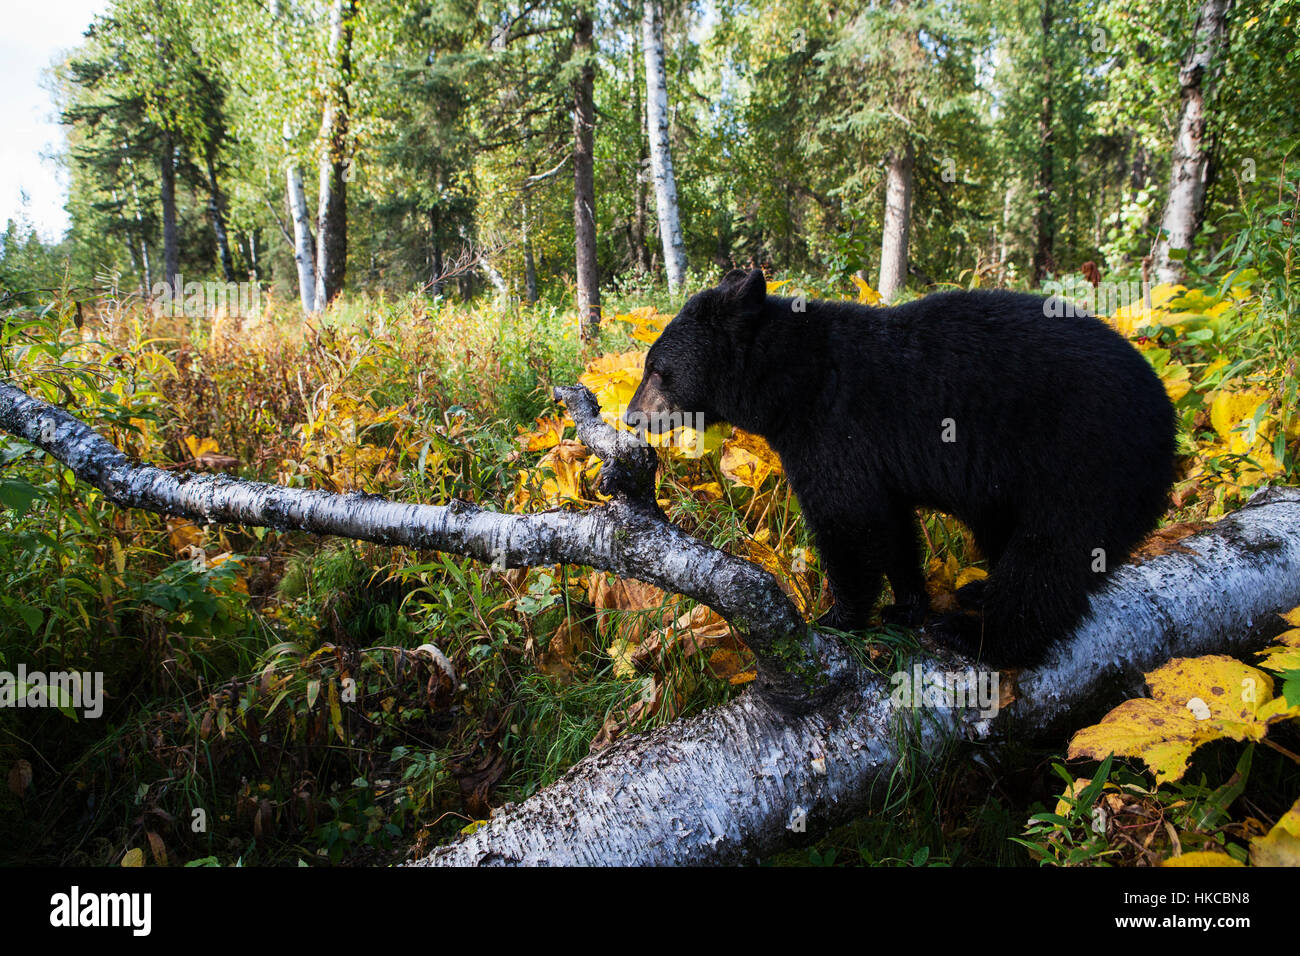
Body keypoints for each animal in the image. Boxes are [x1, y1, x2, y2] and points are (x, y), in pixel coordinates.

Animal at [623, 267, 1176, 667]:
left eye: (655, 369)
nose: (631, 416)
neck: (795, 380)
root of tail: (1168, 418)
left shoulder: (834, 431)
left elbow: (849, 524)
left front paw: (835, 617)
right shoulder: (873, 461)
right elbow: (891, 525)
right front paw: (907, 604)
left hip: (1084, 465)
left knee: (1051, 558)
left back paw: (978, 635)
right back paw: (978, 590)